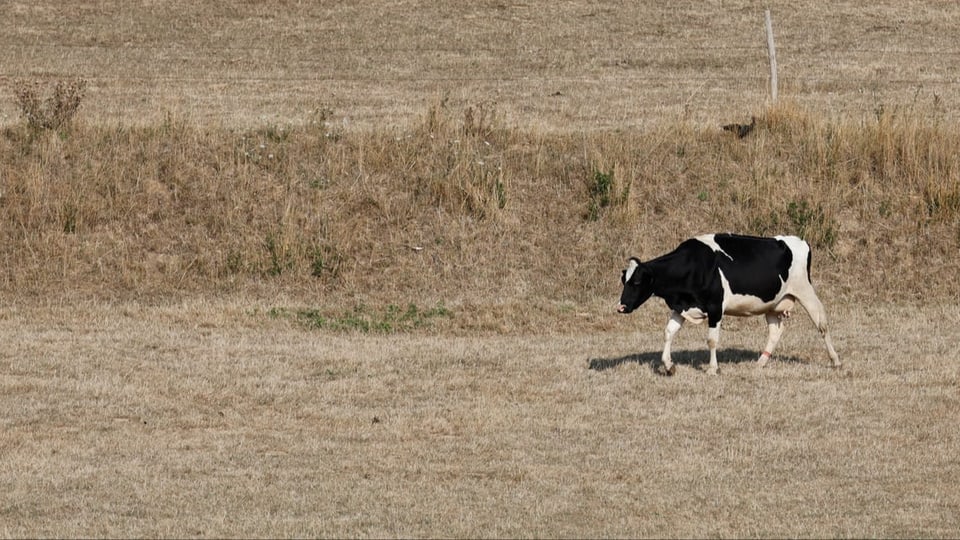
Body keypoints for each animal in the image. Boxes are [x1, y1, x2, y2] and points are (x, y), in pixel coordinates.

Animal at [620, 232, 836, 376]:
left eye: (636, 282)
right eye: (624, 280)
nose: (620, 306)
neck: (695, 265)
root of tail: (799, 240)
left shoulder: (715, 307)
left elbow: (712, 340)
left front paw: (712, 369)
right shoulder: (682, 306)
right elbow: (668, 332)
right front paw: (668, 365)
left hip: (805, 291)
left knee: (822, 324)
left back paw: (835, 360)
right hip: (773, 304)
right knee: (776, 331)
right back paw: (760, 362)